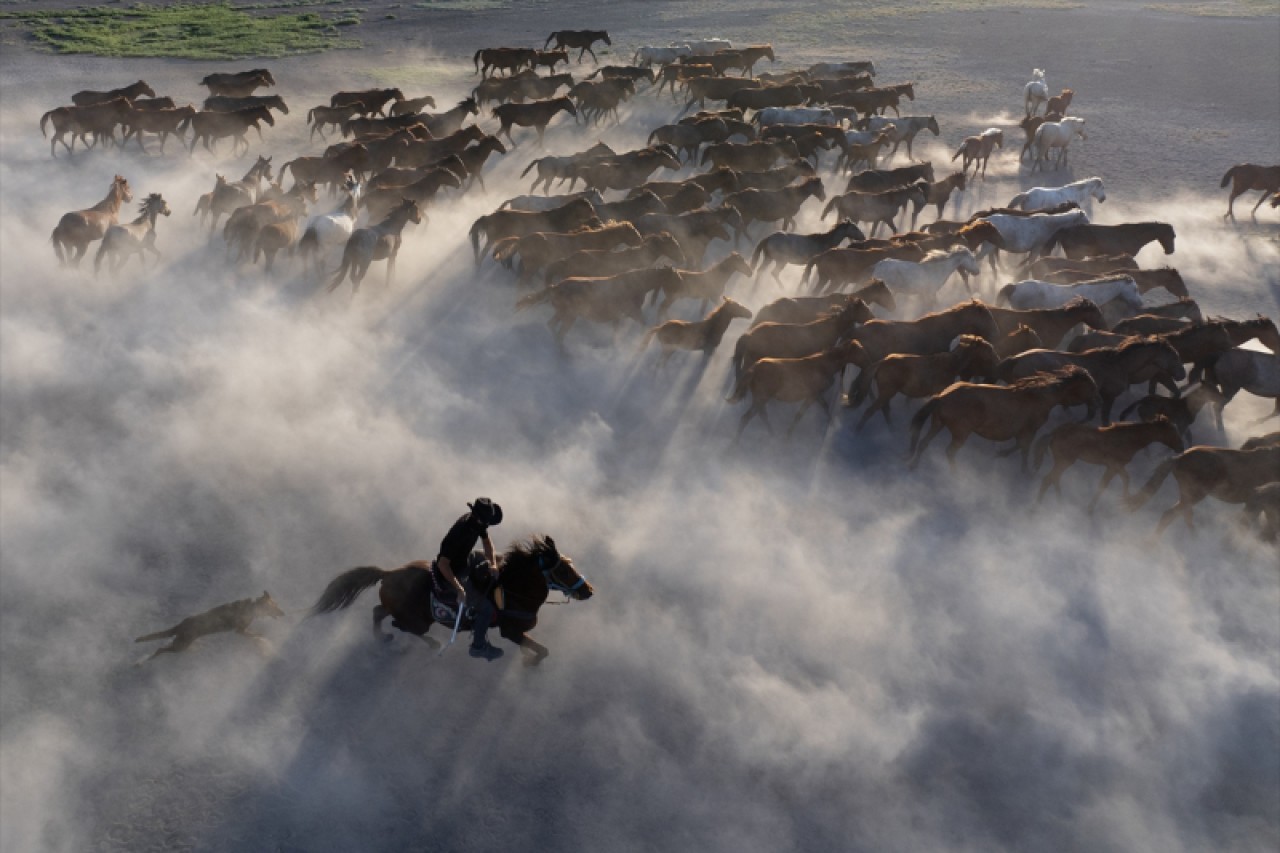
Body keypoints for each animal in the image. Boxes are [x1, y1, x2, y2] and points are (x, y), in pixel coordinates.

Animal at [307, 532, 591, 666]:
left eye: (571, 565)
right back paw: (429, 643)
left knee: (379, 612)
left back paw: (385, 638)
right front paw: (529, 662)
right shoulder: (510, 632)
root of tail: (389, 573)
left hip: (406, 610)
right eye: (563, 570)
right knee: (401, 625)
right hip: (418, 620)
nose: (588, 591)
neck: (512, 590)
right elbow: (542, 650)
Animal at [906, 363, 1105, 468]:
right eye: (1091, 387)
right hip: (960, 433)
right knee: (949, 451)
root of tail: (943, 396)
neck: (1038, 397)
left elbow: (1019, 446)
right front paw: (1024, 470)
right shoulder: (1029, 430)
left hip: (937, 423)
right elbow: (1023, 448)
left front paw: (1001, 455)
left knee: (924, 443)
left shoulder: (1022, 432)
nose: (1097, 404)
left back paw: (913, 466)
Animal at [1034, 414, 1182, 507]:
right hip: (1065, 461)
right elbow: (1125, 478)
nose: (1181, 447)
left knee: (1053, 479)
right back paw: (1036, 508)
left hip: (1063, 461)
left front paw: (1090, 509)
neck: (1130, 439)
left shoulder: (1111, 467)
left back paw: (1060, 503)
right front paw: (1126, 500)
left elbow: (1103, 485)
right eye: (1172, 432)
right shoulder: (1115, 465)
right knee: (1048, 479)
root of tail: (1053, 434)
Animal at [1131, 445, 1280, 532]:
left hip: (1188, 495)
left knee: (1185, 514)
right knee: (1170, 515)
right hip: (1195, 494)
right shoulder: (1260, 504)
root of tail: (1179, 458)